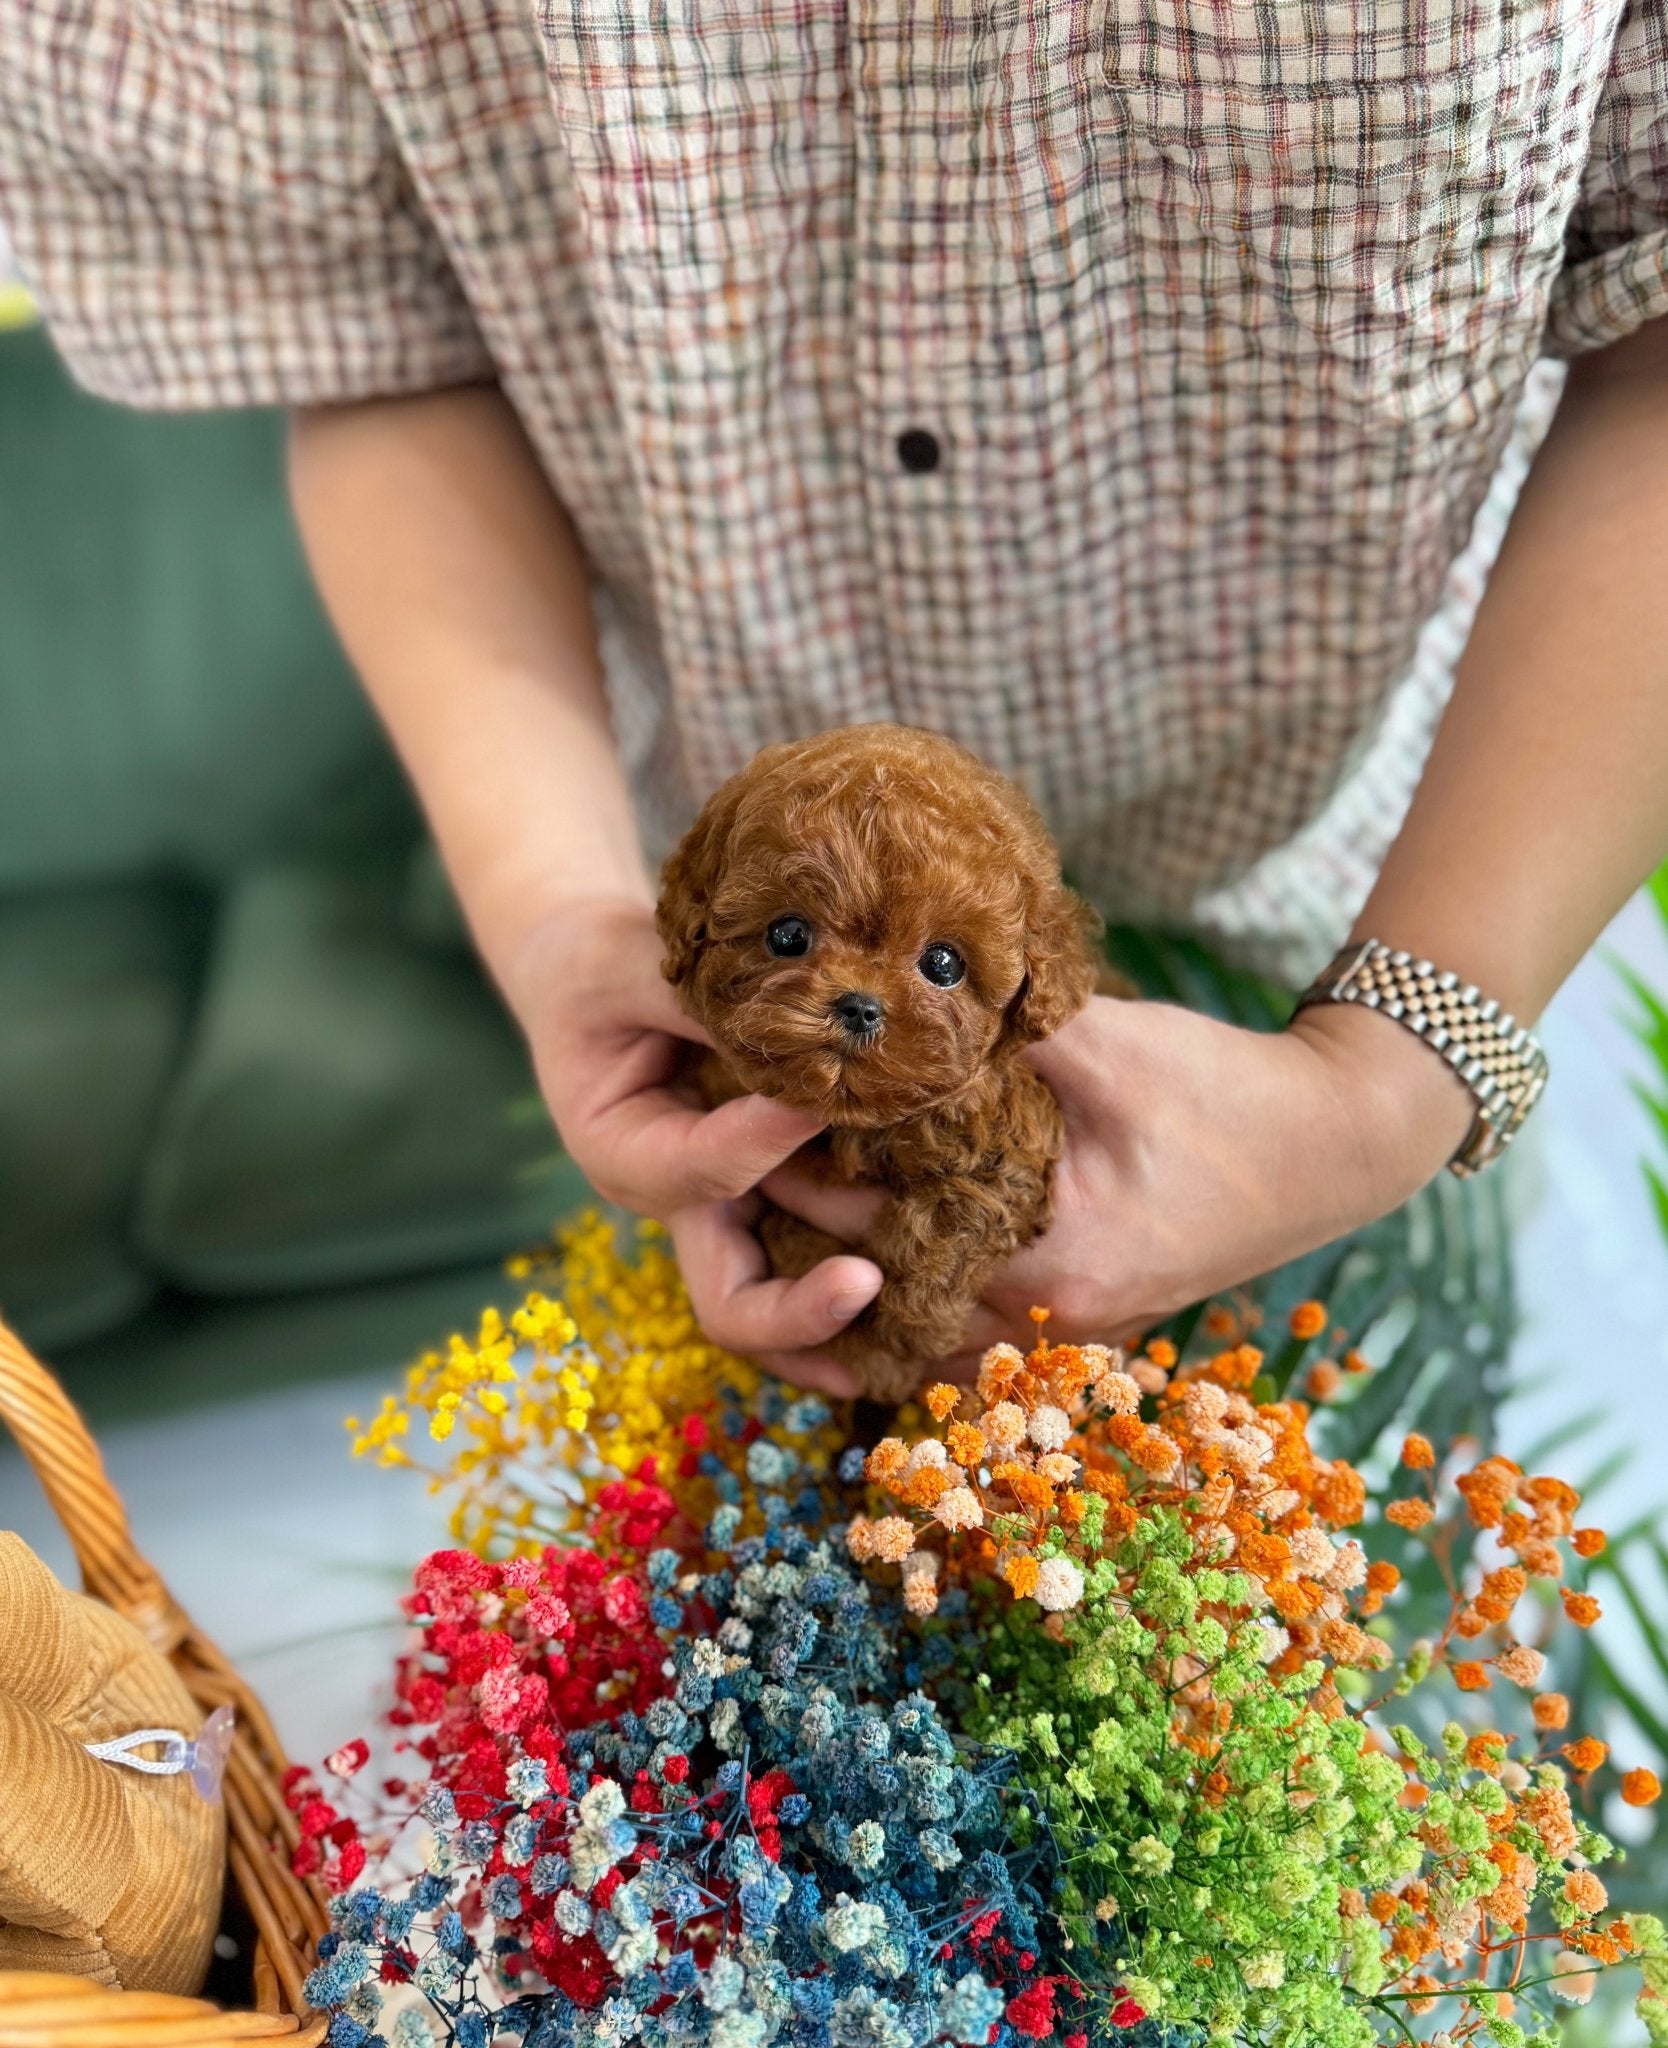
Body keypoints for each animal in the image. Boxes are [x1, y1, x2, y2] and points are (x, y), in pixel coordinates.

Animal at [659, 724, 1114, 1409]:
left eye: (944, 964)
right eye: (787, 935)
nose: (858, 1006)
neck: (858, 1120)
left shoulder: (1009, 1135)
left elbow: (957, 1216)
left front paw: (904, 1335)